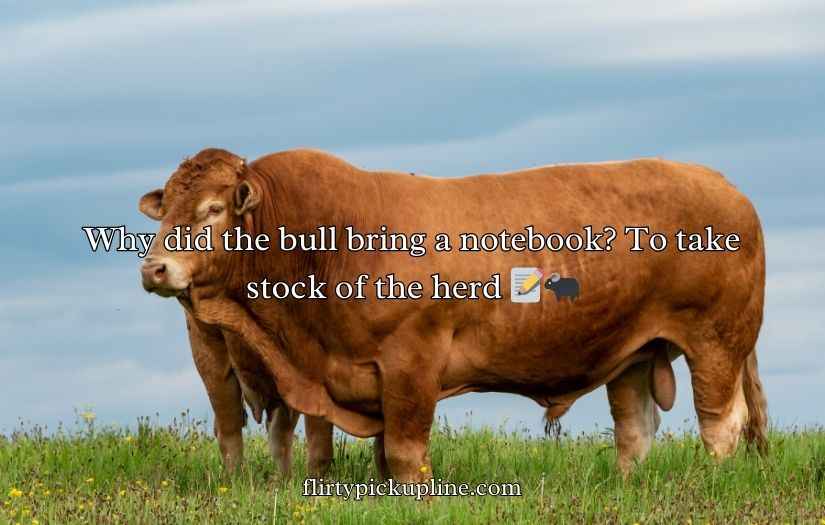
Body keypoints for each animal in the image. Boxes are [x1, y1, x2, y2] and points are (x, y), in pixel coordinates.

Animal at [139, 148, 767, 482]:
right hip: (634, 353)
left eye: (213, 209)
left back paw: (713, 479)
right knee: (635, 428)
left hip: (716, 340)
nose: (154, 269)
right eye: (164, 210)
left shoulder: (412, 360)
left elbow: (404, 452)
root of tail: (721, 182)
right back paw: (627, 485)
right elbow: (377, 453)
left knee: (721, 422)